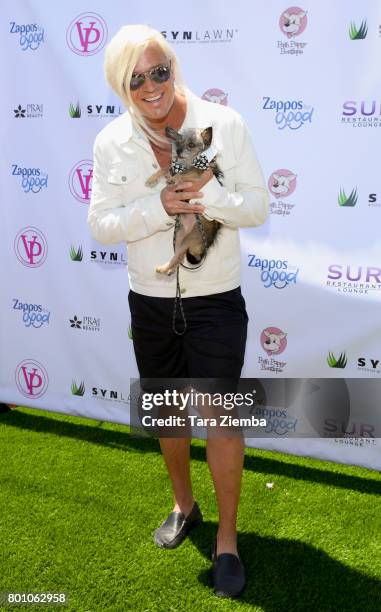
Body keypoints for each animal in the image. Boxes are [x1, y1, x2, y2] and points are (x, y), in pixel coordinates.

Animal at [145, 126, 223, 274]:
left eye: (191, 145)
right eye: (178, 143)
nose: (178, 151)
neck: (187, 163)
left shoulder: (197, 174)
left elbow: (185, 173)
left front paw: (175, 178)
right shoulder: (173, 167)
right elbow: (166, 167)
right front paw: (152, 179)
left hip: (190, 238)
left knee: (179, 256)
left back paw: (165, 269)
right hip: (179, 239)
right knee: (178, 257)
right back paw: (165, 269)